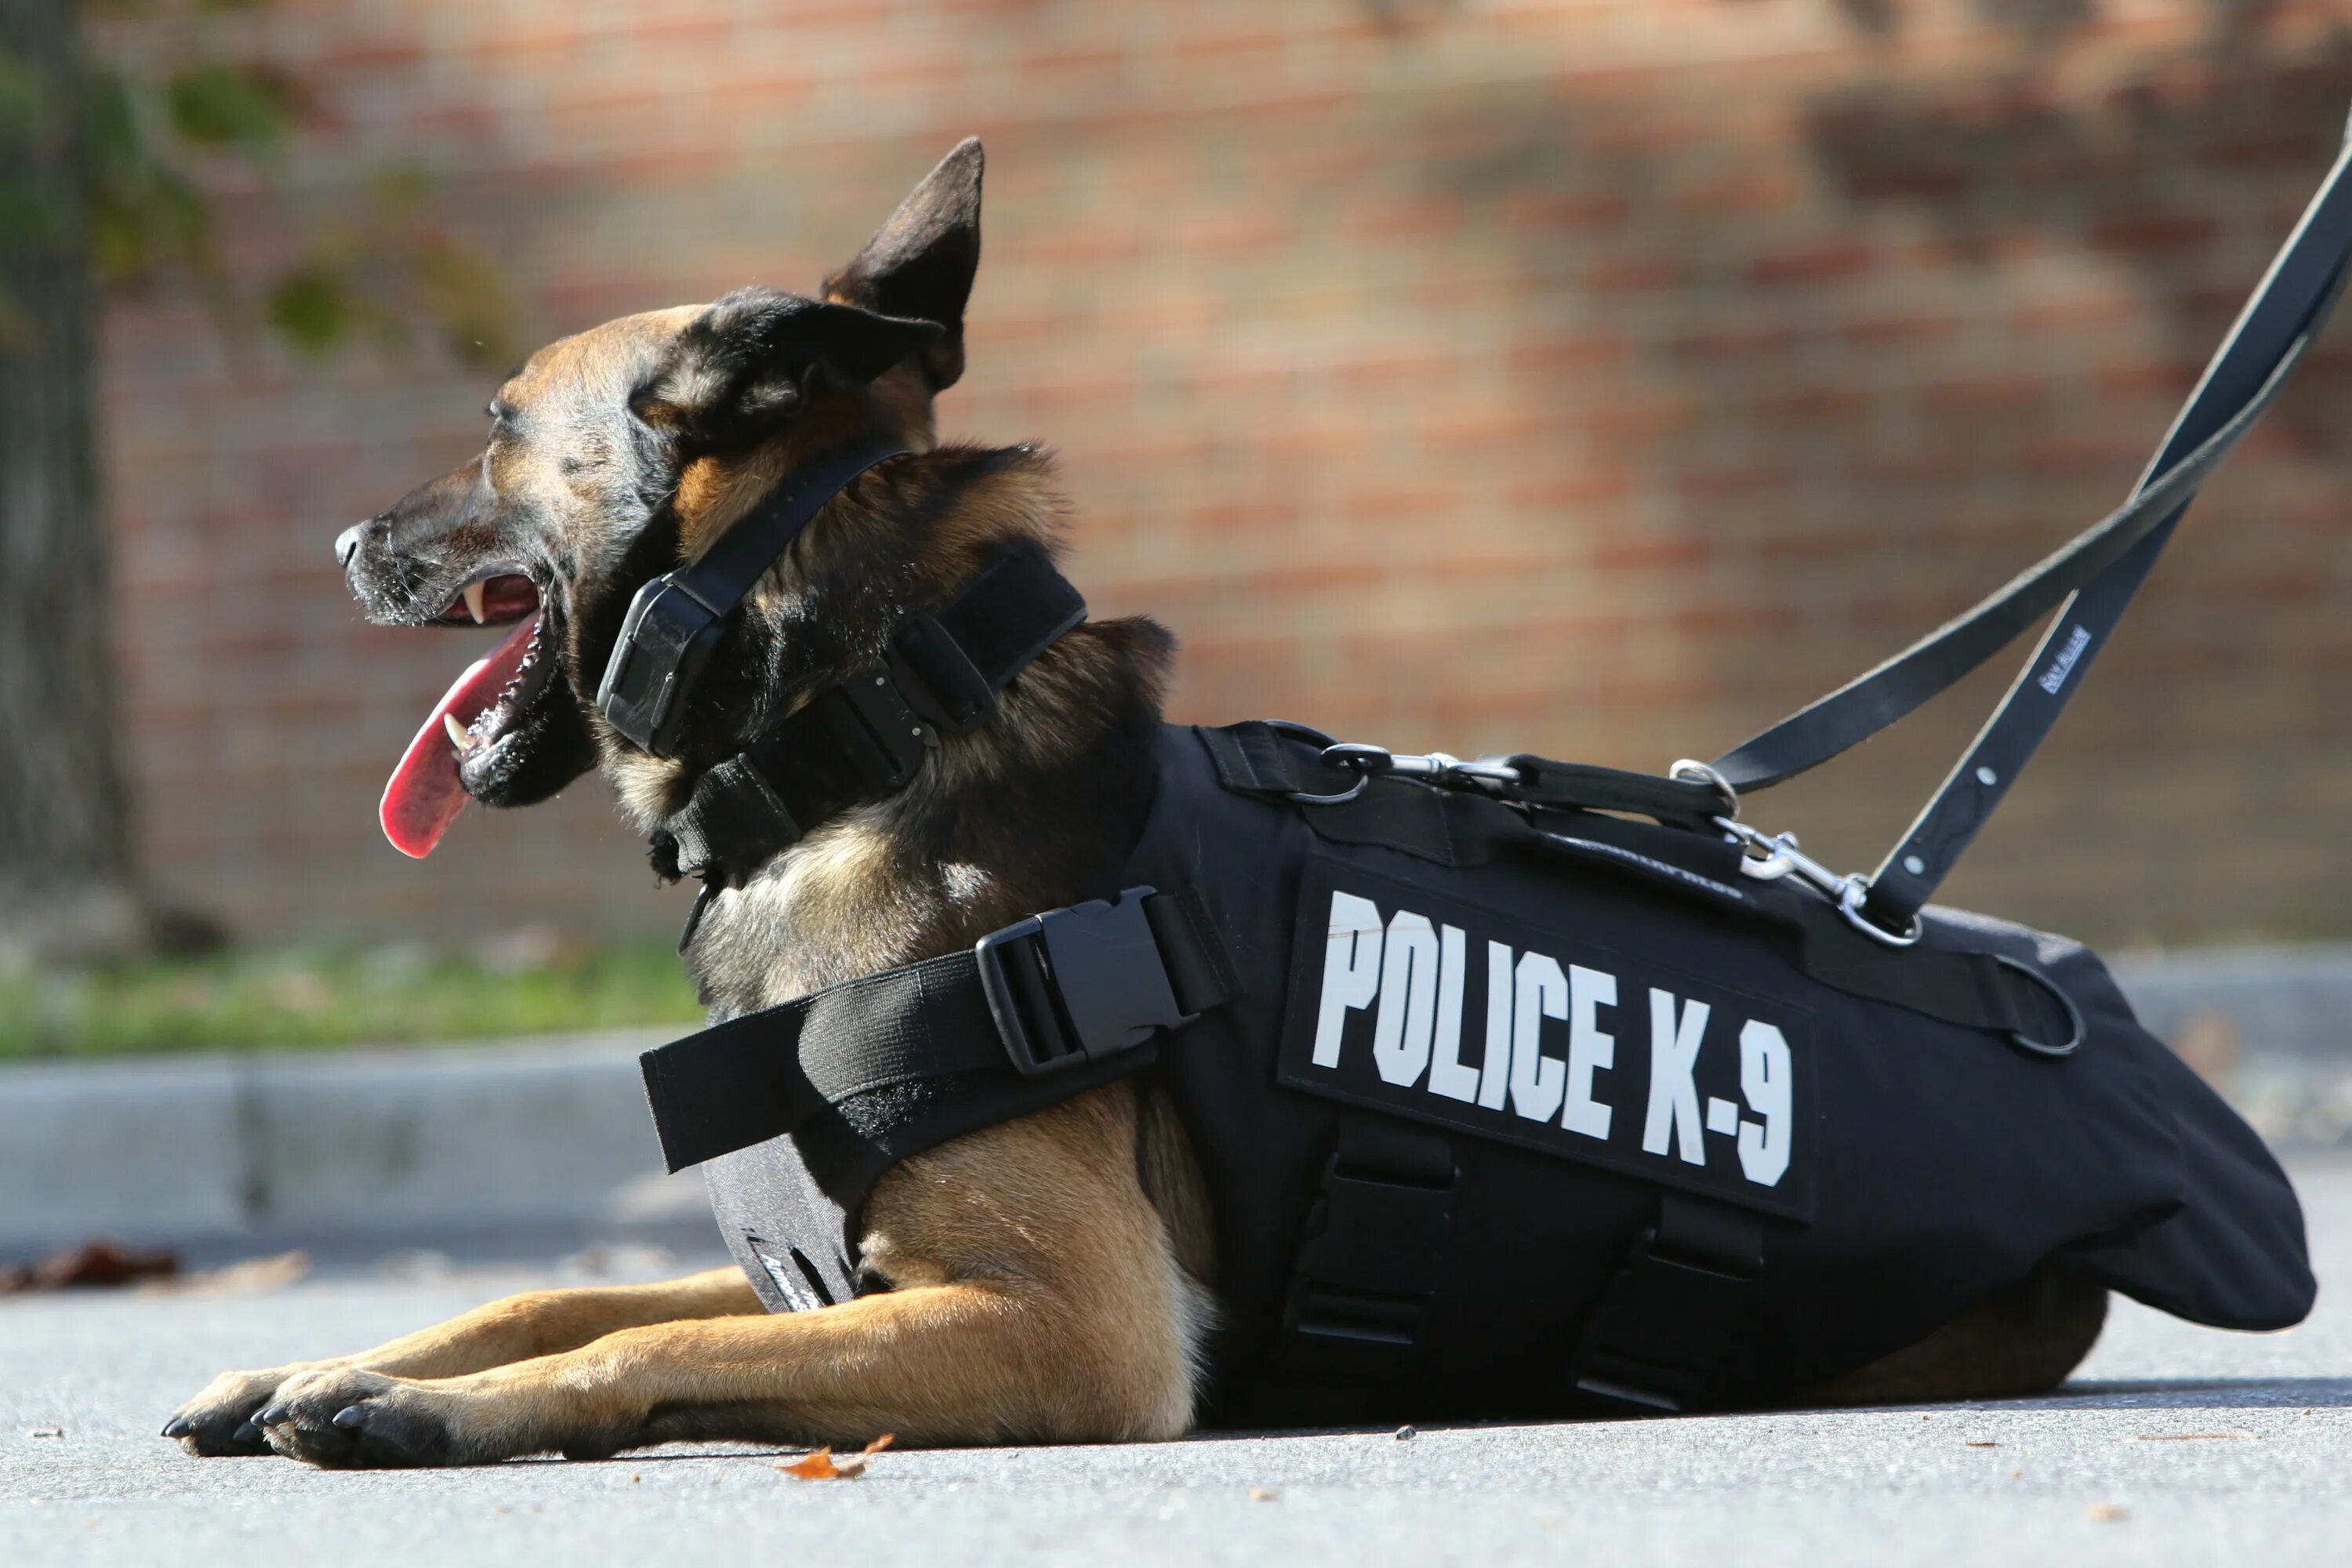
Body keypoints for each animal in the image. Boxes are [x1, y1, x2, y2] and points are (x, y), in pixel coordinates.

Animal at [170, 138, 2117, 1476]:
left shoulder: (1071, 1331)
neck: (859, 735)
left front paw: (427, 1410)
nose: (339, 545)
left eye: (503, 426)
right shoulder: (852, 1271)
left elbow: (635, 1352)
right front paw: (331, 1363)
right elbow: (563, 1292)